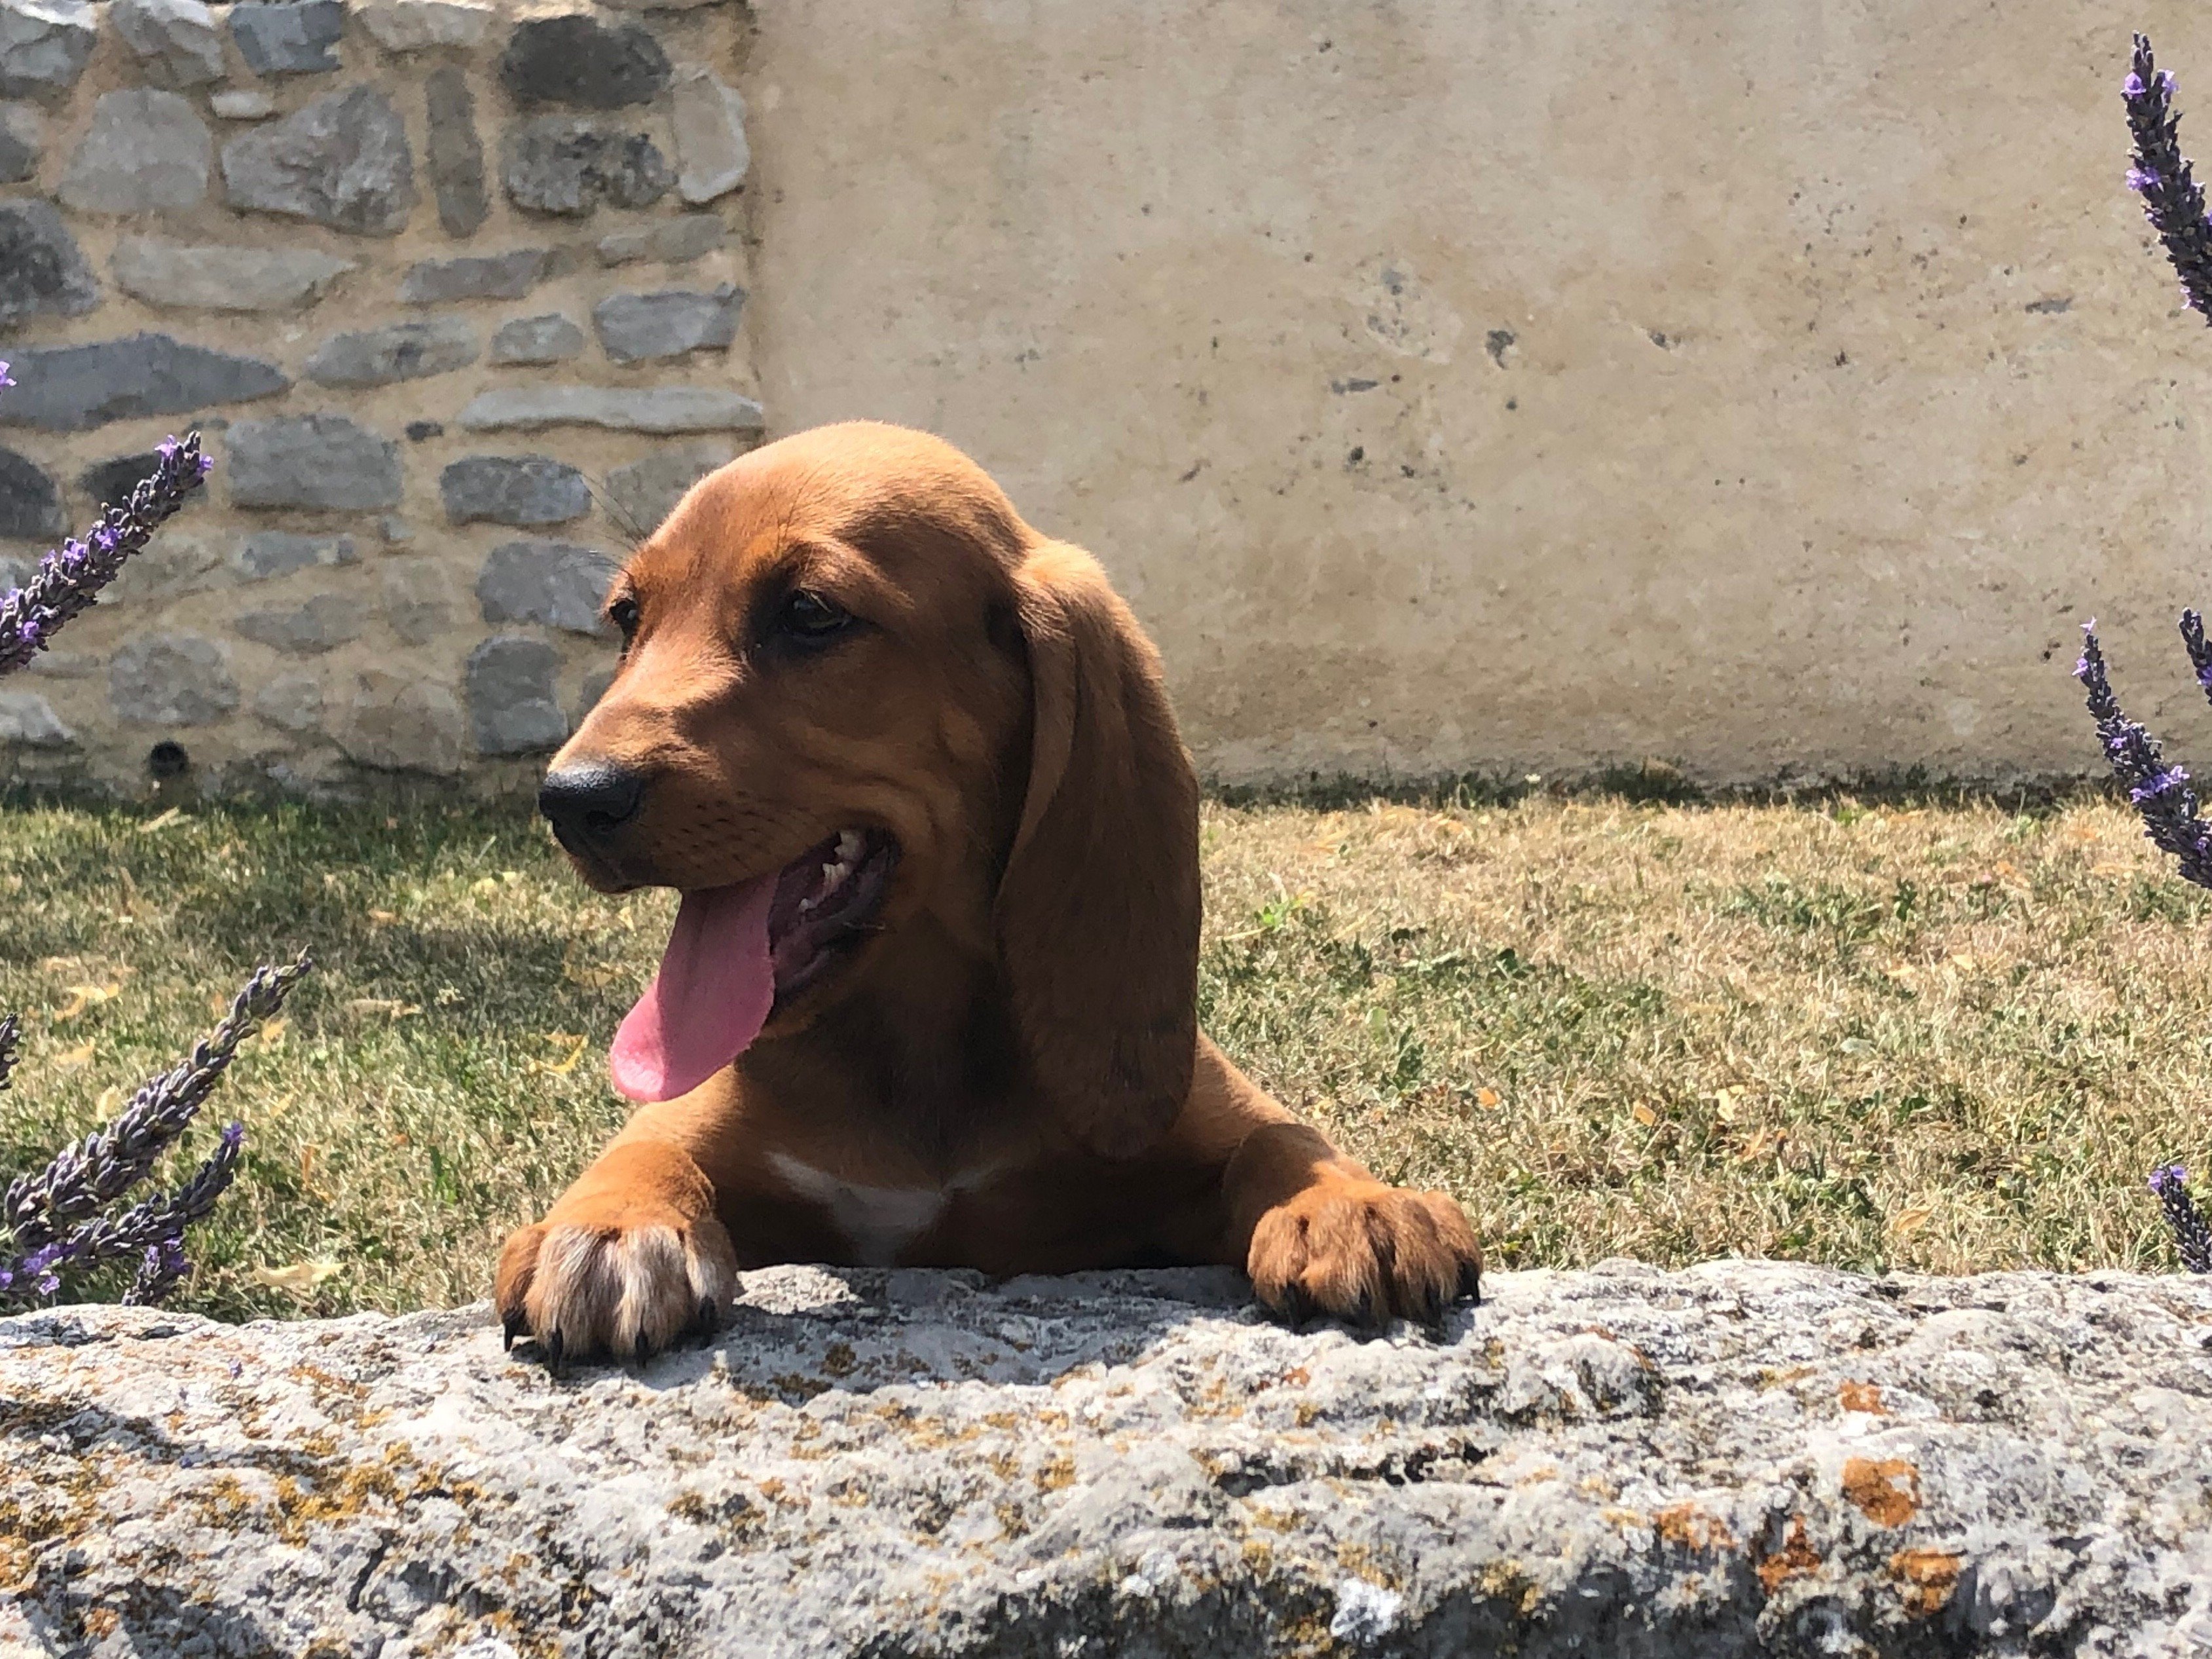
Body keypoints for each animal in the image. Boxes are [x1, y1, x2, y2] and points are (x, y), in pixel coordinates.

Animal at [493, 424, 1477, 1362]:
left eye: (809, 613)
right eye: (627, 618)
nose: (570, 799)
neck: (912, 1044)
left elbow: (1280, 1135)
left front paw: (1348, 1205)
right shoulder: (700, 1123)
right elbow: (644, 1147)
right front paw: (615, 1231)